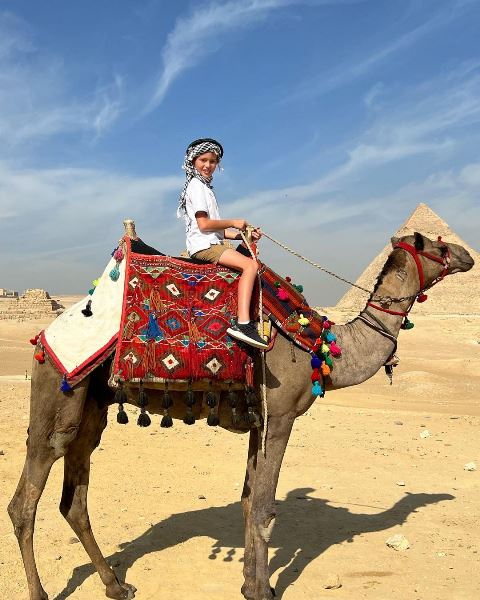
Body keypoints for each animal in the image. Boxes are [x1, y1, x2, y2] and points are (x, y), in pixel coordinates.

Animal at [6, 231, 472, 600]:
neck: (321, 349)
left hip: (92, 407)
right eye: (437, 245)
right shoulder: (280, 417)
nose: (467, 255)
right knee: (25, 500)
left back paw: (117, 585)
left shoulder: (258, 423)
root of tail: (43, 335)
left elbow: (249, 502)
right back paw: (40, 592)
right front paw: (264, 591)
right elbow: (265, 509)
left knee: (74, 500)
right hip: (59, 392)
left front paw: (249, 583)